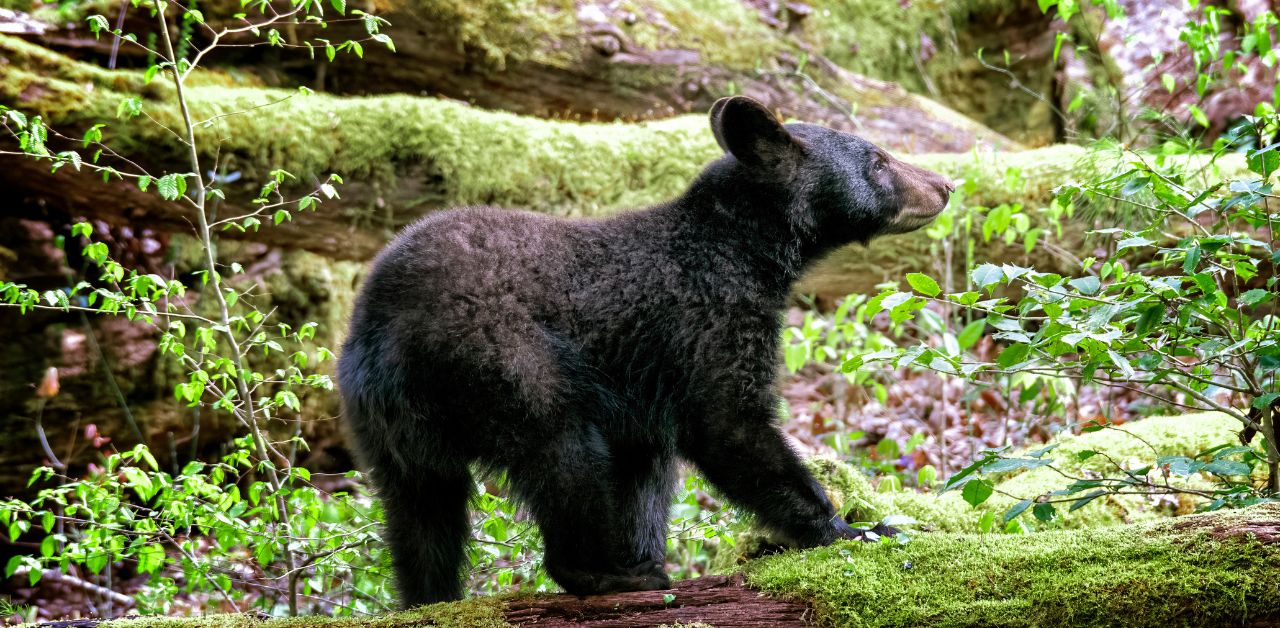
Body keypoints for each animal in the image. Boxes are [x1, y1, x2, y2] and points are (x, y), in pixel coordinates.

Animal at [335, 95, 957, 606]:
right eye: (877, 159)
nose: (946, 184)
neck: (740, 249)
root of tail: (383, 335)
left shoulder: (644, 383)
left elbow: (645, 472)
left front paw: (645, 547)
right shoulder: (705, 320)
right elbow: (728, 425)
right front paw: (854, 529)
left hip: (383, 429)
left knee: (421, 517)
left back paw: (431, 598)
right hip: (502, 362)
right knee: (563, 452)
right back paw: (606, 574)